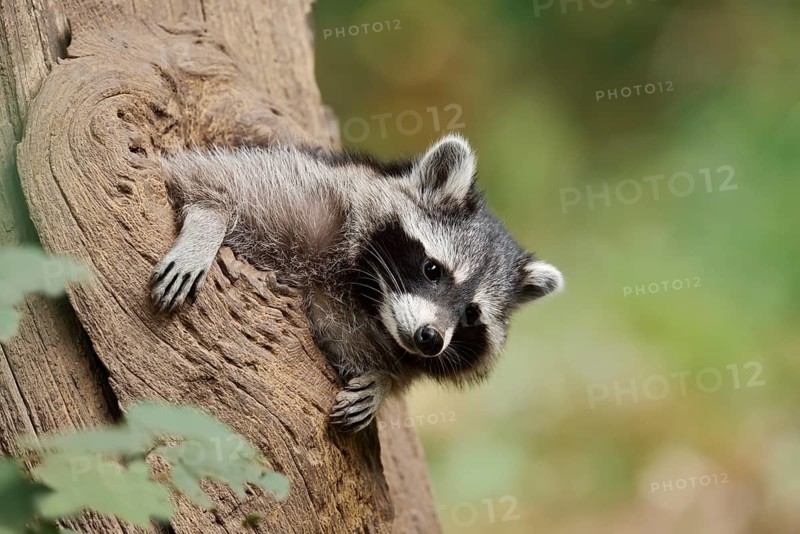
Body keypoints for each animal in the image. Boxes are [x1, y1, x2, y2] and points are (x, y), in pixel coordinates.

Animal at [151, 134, 563, 432]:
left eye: (471, 315)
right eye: (433, 270)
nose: (430, 339)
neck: (366, 295)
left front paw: (383, 381)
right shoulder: (310, 192)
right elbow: (204, 174)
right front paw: (209, 219)